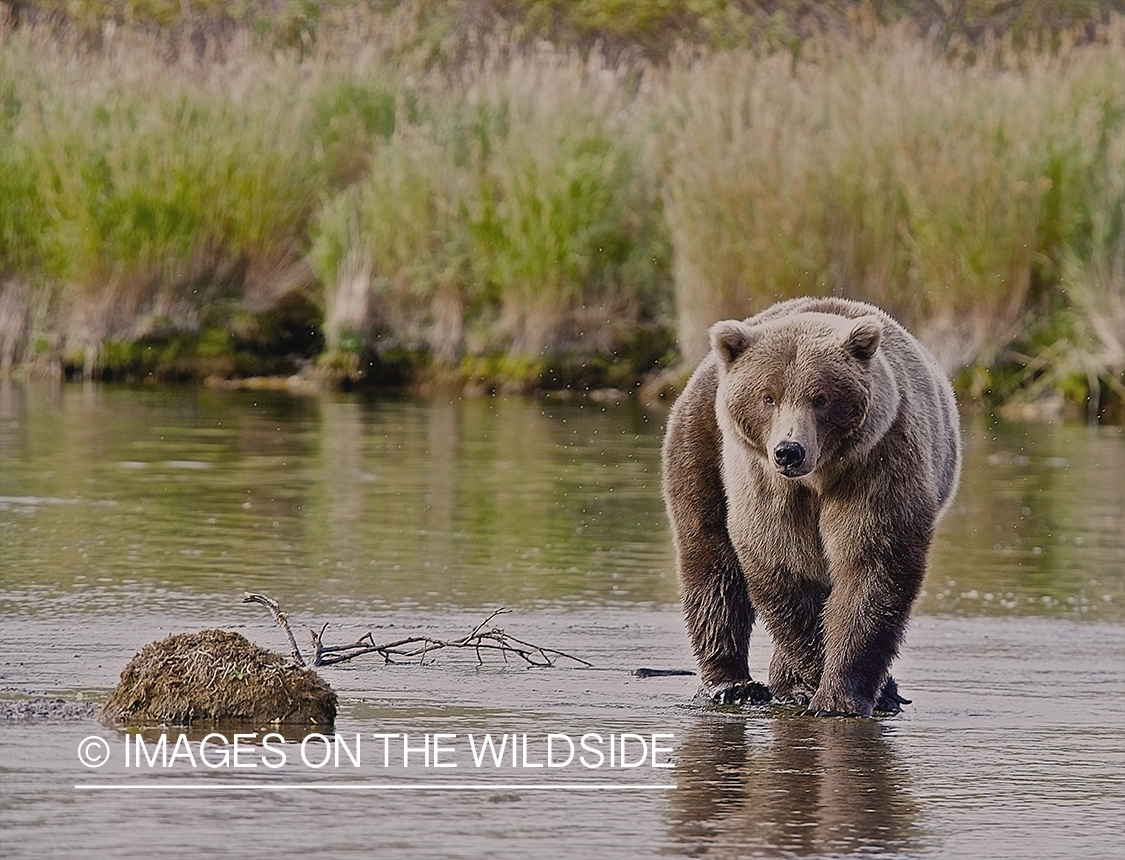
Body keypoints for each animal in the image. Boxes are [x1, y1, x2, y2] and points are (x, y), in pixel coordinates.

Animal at [662, 296, 961, 717]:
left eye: (820, 397)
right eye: (768, 396)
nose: (789, 451)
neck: (818, 478)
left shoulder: (876, 467)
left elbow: (870, 567)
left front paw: (838, 696)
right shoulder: (767, 485)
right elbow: (786, 564)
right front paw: (813, 680)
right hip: (701, 444)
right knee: (711, 560)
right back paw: (732, 684)